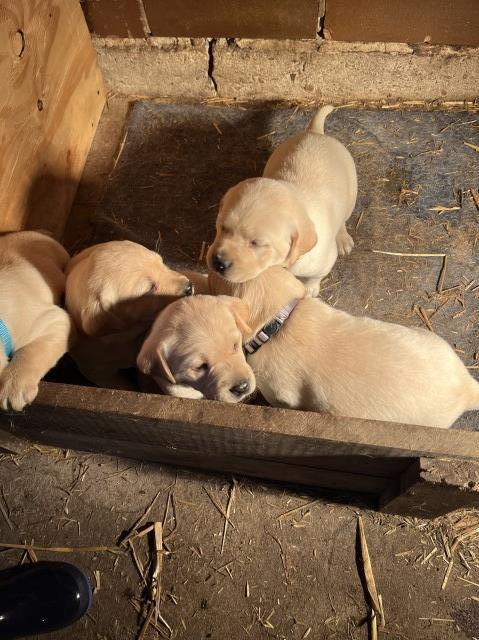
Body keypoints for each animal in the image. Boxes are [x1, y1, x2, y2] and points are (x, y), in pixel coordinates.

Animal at [208, 105, 358, 296]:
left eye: (256, 243)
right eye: (222, 227)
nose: (219, 263)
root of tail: (315, 133)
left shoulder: (324, 261)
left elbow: (316, 277)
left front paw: (310, 289)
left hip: (351, 190)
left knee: (344, 219)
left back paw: (343, 238)